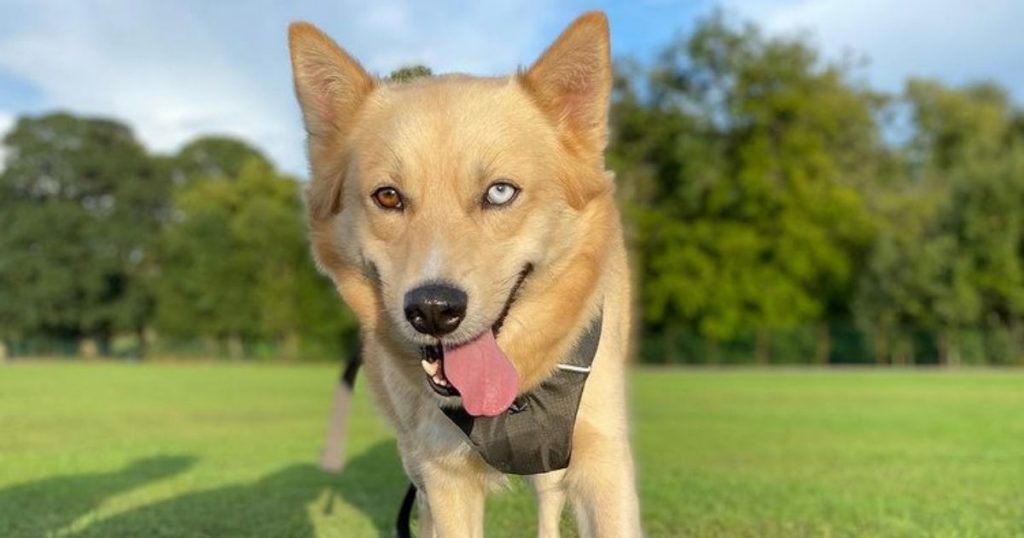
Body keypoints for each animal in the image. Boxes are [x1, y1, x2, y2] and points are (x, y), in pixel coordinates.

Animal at [288, 12, 638, 536]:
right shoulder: (444, 475)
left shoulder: (603, 460)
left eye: (499, 192)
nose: (433, 310)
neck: (513, 399)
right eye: (388, 196)